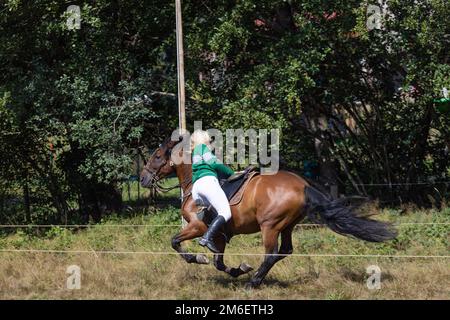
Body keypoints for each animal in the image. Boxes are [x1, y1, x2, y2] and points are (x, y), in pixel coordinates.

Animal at [141, 135, 398, 288]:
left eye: (157, 156)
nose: (143, 179)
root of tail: (301, 185)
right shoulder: (220, 235)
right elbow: (219, 262)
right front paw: (238, 269)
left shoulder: (198, 226)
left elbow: (176, 242)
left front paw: (197, 257)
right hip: (287, 225)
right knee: (285, 250)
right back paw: (254, 277)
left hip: (270, 225)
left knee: (271, 253)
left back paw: (253, 282)